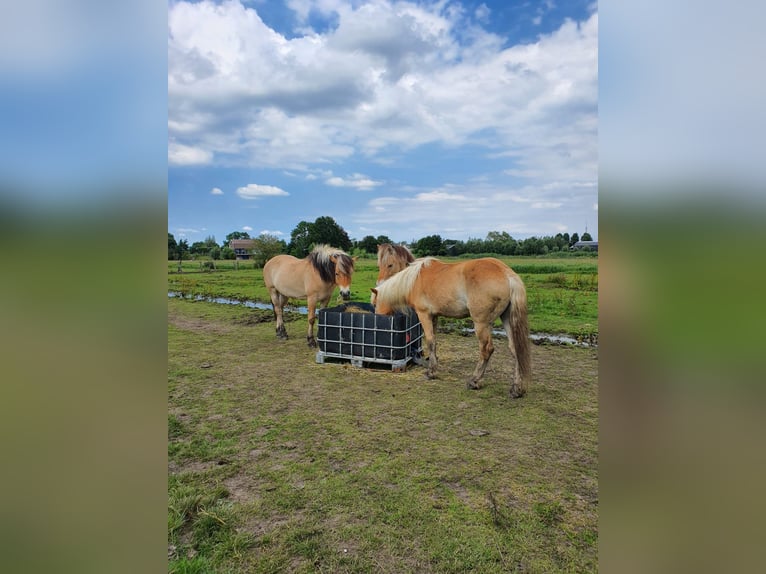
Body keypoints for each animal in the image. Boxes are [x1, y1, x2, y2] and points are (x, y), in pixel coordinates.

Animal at [374, 258, 532, 398]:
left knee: (486, 350)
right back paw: (517, 389)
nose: (377, 316)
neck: (414, 280)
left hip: (481, 324)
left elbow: (430, 341)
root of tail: (507, 273)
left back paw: (474, 381)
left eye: (375, 303)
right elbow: (434, 341)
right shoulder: (434, 316)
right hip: (507, 319)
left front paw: (431, 372)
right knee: (515, 349)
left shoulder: (424, 315)